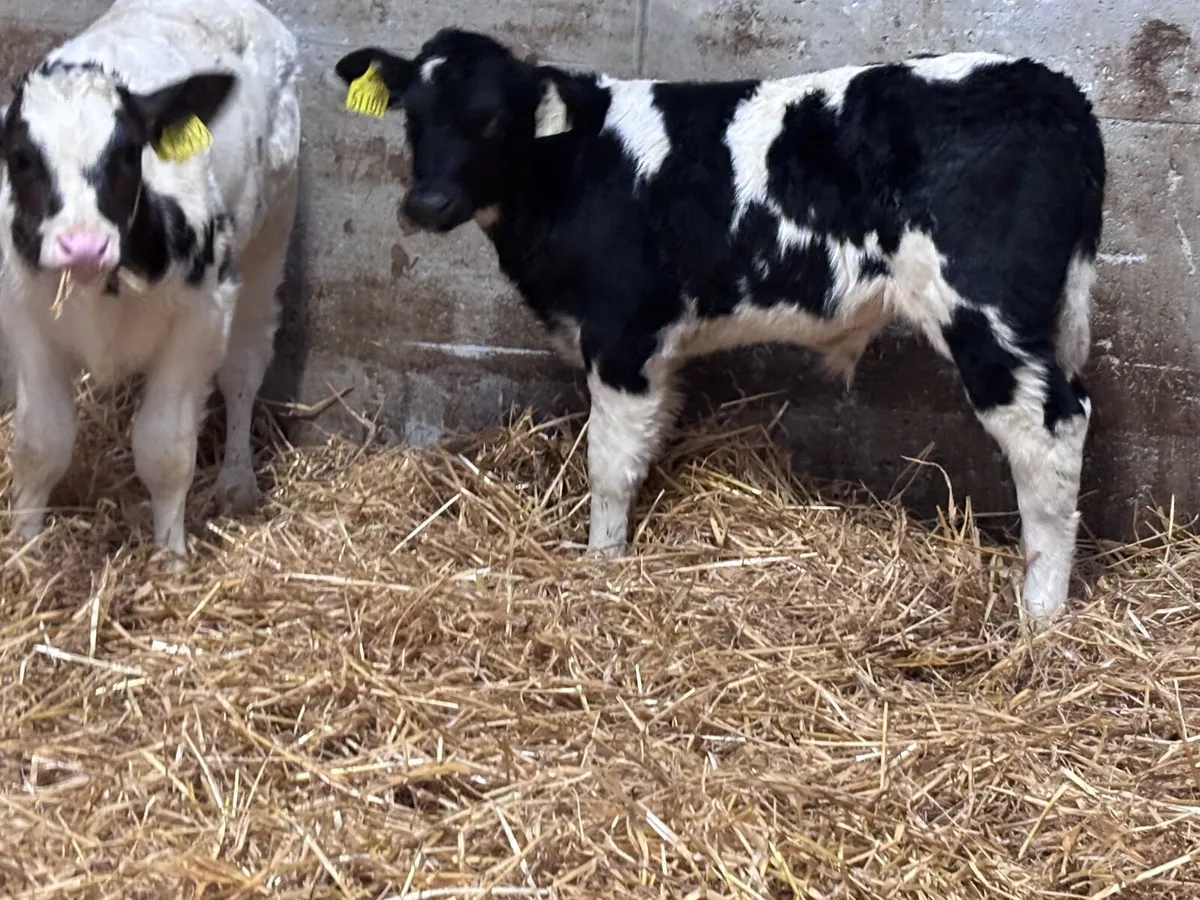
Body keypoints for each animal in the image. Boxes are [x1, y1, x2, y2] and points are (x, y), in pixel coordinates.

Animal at [0, 0, 301, 560]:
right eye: (22, 158)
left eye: (127, 153)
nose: (83, 245)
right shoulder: (25, 315)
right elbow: (41, 442)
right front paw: (24, 547)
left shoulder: (203, 317)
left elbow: (165, 449)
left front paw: (170, 558)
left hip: (271, 236)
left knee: (244, 368)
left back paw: (237, 480)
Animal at [334, 29, 1105, 623]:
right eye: (411, 117)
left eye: (493, 119)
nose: (426, 203)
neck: (573, 170)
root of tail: (1054, 87)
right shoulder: (659, 348)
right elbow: (647, 444)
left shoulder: (622, 334)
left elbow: (608, 465)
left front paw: (601, 562)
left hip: (985, 311)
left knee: (1051, 429)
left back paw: (1039, 613)